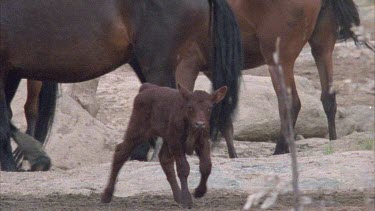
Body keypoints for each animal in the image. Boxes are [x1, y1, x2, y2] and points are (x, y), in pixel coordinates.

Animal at [176, 0, 370, 155]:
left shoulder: (186, 64)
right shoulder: (215, 69)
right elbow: (223, 115)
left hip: (278, 59)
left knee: (291, 103)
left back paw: (280, 149)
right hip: (322, 48)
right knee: (328, 98)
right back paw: (332, 142)